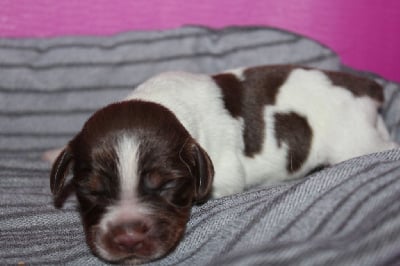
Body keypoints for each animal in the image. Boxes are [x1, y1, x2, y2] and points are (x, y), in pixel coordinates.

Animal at [48, 65, 398, 264]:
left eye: (167, 184)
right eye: (90, 190)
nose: (129, 238)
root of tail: (364, 87)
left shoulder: (227, 176)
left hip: (355, 141)